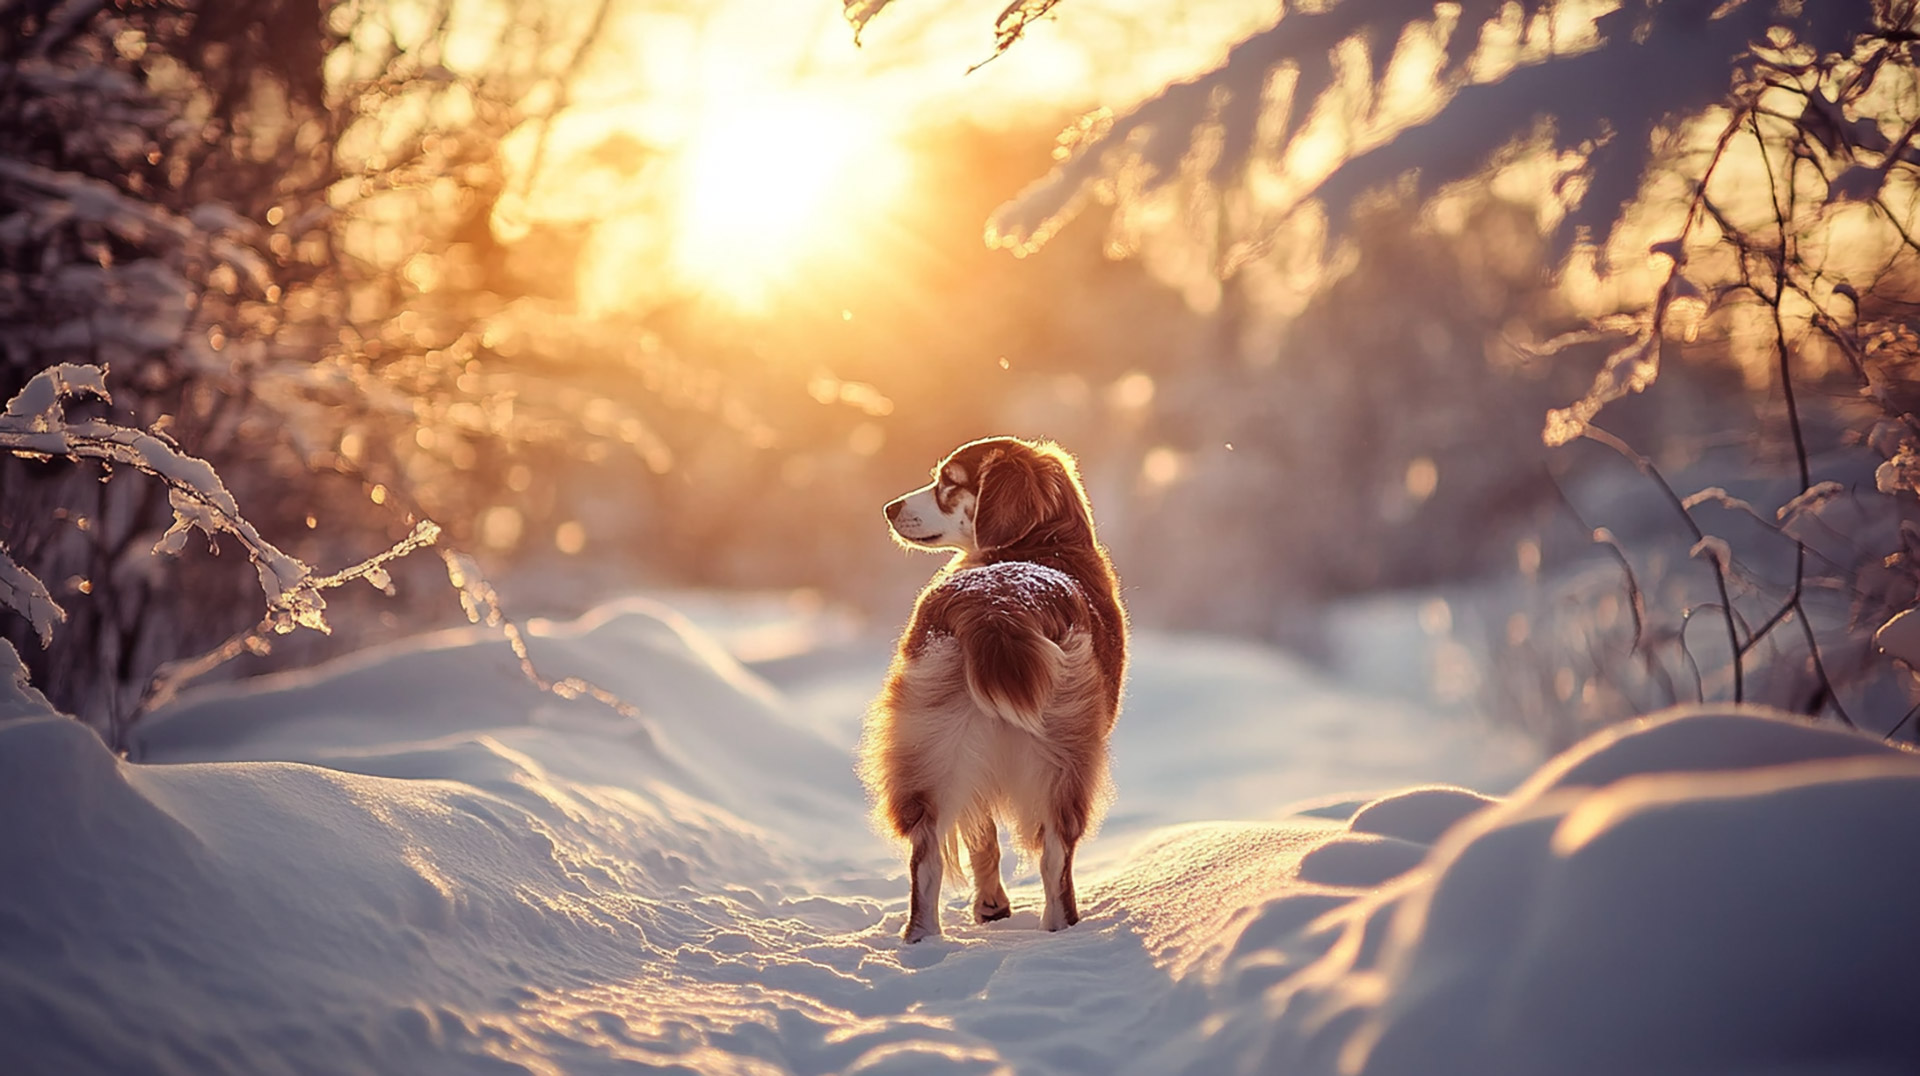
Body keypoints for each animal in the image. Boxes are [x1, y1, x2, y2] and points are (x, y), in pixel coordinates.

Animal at [856, 438, 1121, 941]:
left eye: (948, 482)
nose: (888, 508)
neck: (1045, 543)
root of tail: (997, 605)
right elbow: (985, 840)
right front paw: (992, 907)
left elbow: (980, 840)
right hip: (1063, 762)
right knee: (1056, 858)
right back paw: (1060, 933)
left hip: (933, 751)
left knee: (927, 861)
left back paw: (923, 940)